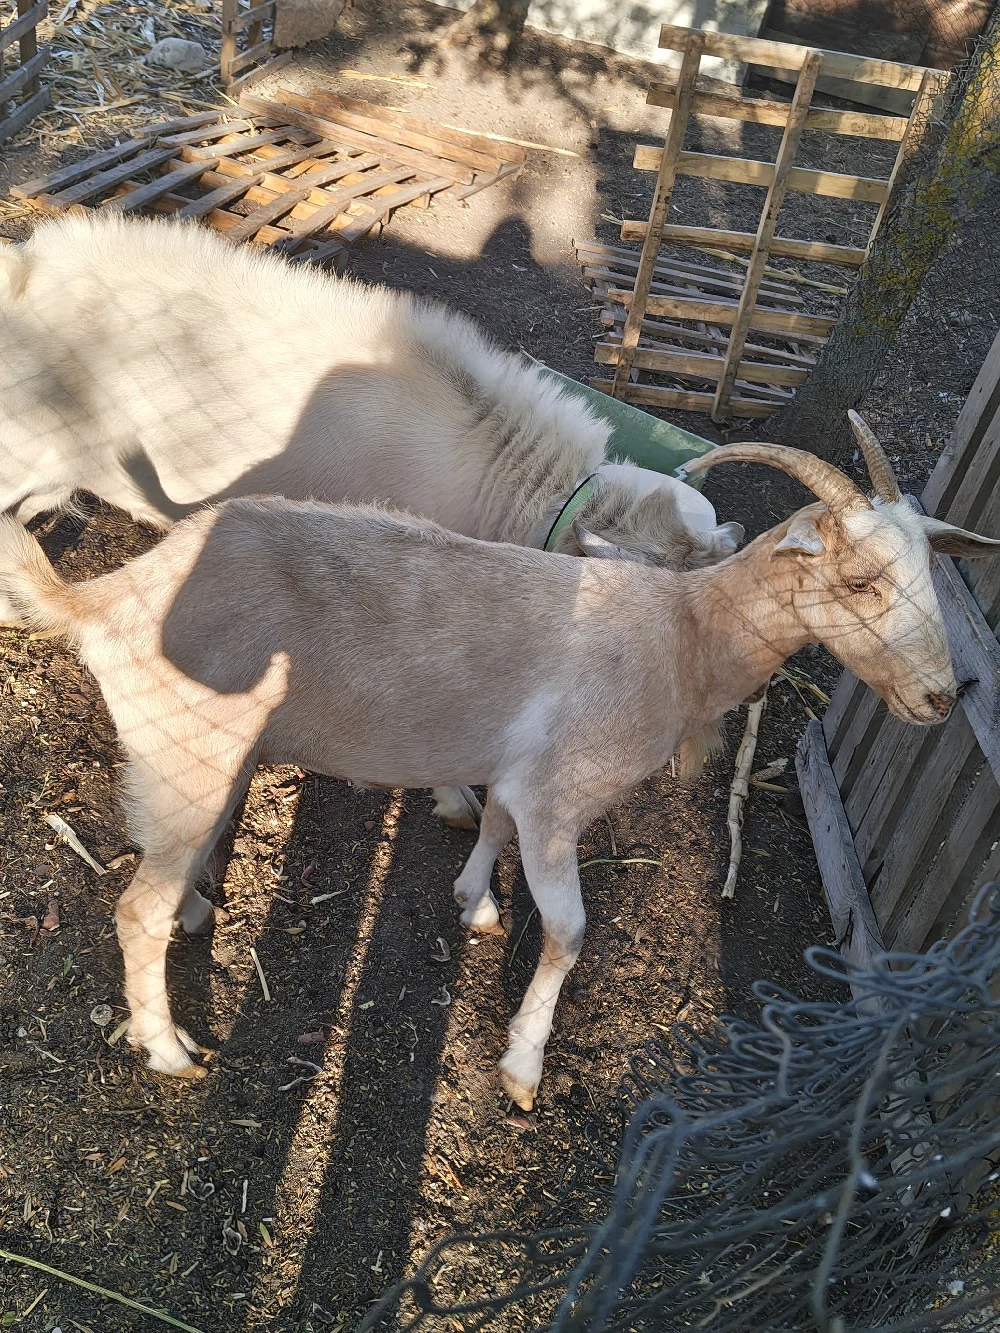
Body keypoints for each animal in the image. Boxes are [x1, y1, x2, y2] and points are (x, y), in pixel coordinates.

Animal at [4, 430, 994, 1107]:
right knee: (135, 909)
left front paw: (474, 899)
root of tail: (106, 596)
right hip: (189, 748)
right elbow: (569, 933)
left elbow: (491, 819)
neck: (683, 635)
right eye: (861, 579)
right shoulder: (562, 797)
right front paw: (522, 1061)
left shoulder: (522, 775)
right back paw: (169, 1048)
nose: (945, 696)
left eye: (931, 573)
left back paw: (199, 909)